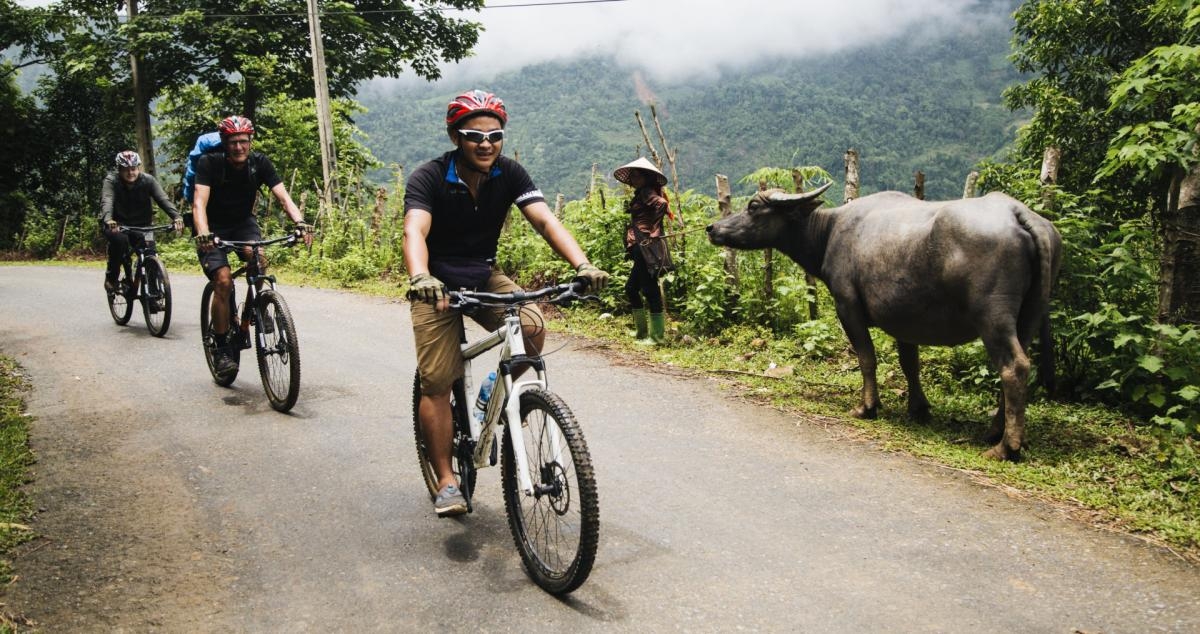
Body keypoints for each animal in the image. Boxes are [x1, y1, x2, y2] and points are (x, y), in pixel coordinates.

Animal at [705, 183, 1065, 461]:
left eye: (753, 206)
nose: (712, 228)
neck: (829, 231)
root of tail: (1018, 213)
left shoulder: (847, 305)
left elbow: (866, 358)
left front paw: (867, 407)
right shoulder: (905, 319)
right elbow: (910, 363)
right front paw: (918, 409)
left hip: (993, 317)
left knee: (1014, 366)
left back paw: (1006, 447)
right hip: (1029, 316)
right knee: (1018, 365)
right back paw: (995, 431)